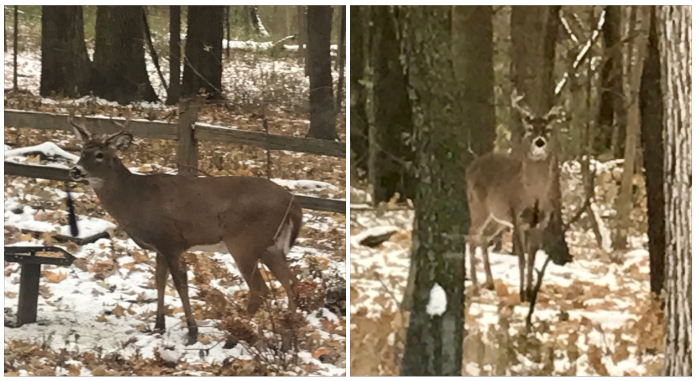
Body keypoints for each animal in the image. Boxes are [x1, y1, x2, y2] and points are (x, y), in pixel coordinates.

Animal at [67, 116, 304, 344]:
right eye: (82, 151)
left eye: (100, 154)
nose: (75, 171)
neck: (135, 197)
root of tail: (293, 202)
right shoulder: (159, 246)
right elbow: (159, 280)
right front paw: (158, 326)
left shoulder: (171, 241)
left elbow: (180, 283)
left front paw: (192, 332)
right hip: (271, 246)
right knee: (292, 283)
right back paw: (289, 339)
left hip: (243, 242)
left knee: (260, 290)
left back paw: (233, 338)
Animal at [468, 90, 560, 302]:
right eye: (530, 129)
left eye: (548, 129)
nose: (539, 142)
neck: (533, 195)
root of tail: (471, 166)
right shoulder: (517, 218)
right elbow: (522, 259)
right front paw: (522, 293)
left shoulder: (540, 222)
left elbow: (532, 259)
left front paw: (530, 293)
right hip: (478, 207)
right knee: (470, 238)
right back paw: (475, 287)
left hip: (497, 219)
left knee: (482, 239)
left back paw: (490, 283)